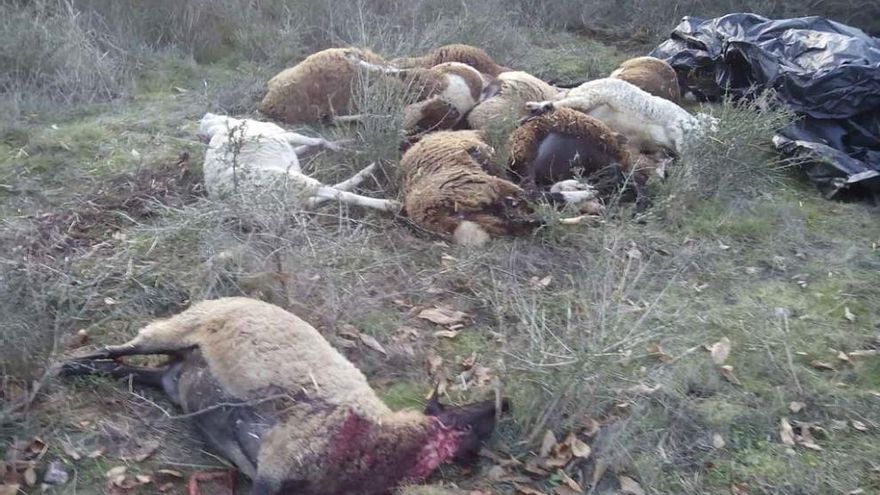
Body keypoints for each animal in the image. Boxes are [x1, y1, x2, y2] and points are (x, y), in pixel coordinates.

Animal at [62, 296, 508, 494]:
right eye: (461, 419)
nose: (506, 404)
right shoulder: (275, 466)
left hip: (174, 375)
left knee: (130, 369)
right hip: (176, 329)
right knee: (117, 349)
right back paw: (64, 367)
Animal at [198, 113, 400, 212]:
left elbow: (309, 147)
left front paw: (342, 143)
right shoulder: (282, 133)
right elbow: (318, 141)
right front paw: (347, 147)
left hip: (292, 183)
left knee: (323, 194)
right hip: (285, 179)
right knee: (338, 193)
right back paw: (386, 199)